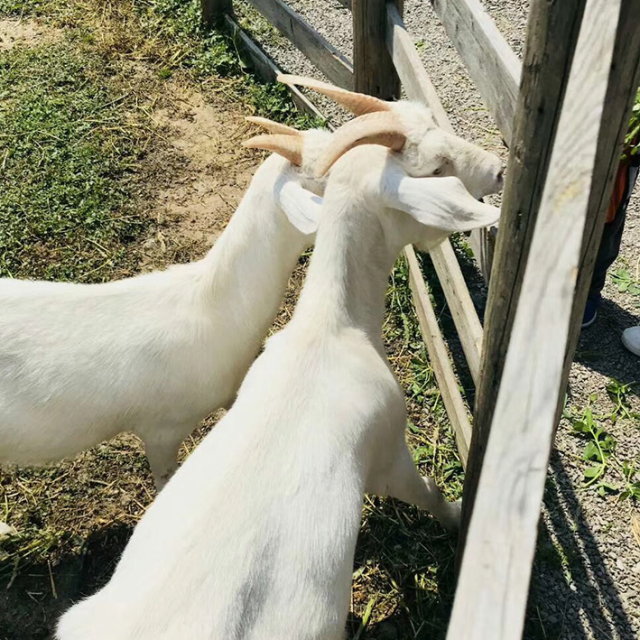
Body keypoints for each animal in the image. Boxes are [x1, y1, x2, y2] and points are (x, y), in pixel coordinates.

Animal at [56, 79, 504, 640]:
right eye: (437, 166)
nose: (499, 170)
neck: (329, 328)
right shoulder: (388, 452)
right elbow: (425, 491)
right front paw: (462, 516)